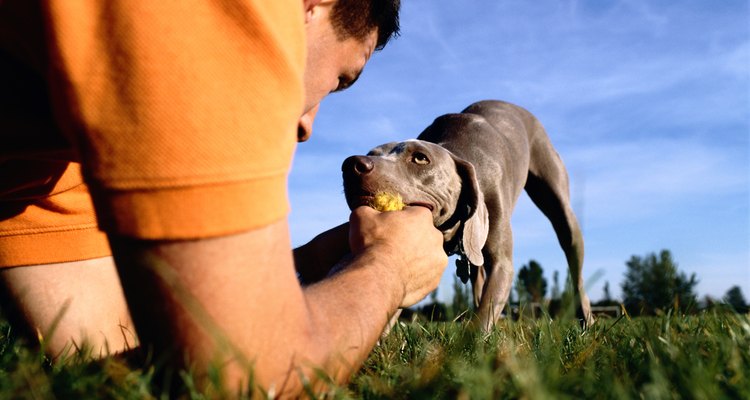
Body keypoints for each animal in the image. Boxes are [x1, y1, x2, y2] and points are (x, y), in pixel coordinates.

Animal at [344, 98, 596, 330]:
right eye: (371, 152)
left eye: (420, 157)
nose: (351, 165)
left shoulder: (502, 263)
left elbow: (484, 316)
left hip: (560, 207)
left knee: (575, 265)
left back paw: (587, 319)